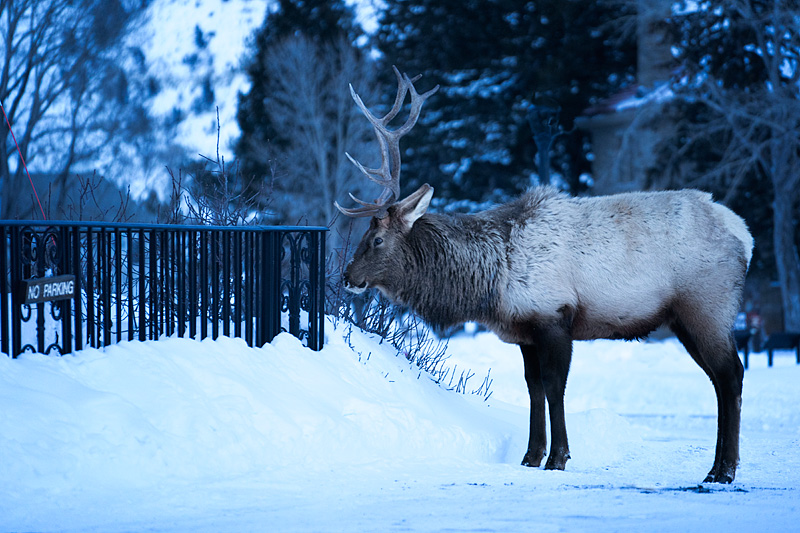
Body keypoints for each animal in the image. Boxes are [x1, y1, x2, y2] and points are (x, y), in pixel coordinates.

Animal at [334, 66, 752, 482]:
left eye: (376, 239)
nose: (347, 277)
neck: (491, 280)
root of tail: (745, 236)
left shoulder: (554, 317)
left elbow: (554, 387)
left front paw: (558, 457)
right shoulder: (524, 331)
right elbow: (533, 388)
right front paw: (530, 456)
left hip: (707, 306)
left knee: (731, 373)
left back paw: (724, 470)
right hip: (686, 318)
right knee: (718, 378)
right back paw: (718, 467)